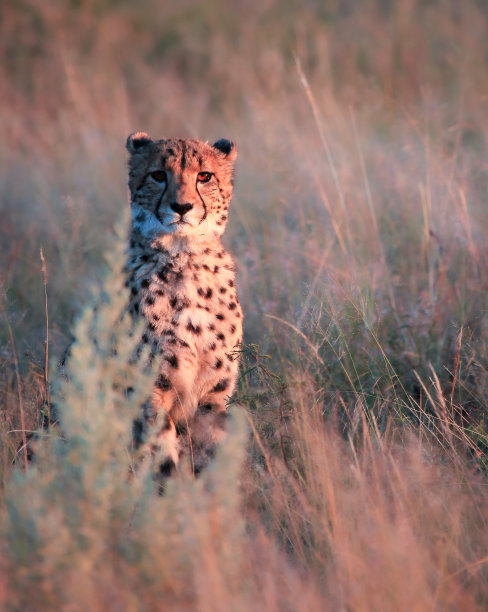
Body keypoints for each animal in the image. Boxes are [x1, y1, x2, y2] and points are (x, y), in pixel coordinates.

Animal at [124, 134, 242, 482]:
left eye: (204, 176)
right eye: (158, 175)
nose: (181, 207)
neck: (184, 257)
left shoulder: (213, 395)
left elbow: (208, 455)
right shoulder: (153, 390)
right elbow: (163, 459)